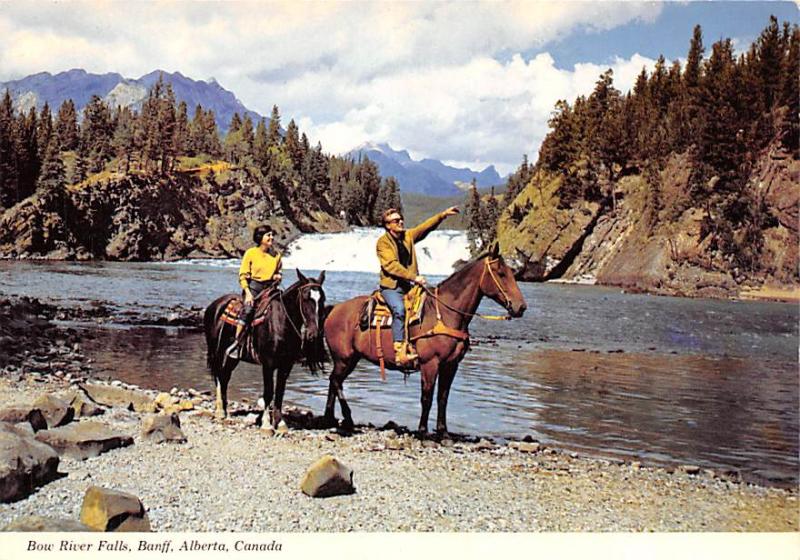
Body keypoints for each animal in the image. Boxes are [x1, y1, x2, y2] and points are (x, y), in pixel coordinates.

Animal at [205, 270, 326, 426]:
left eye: (322, 299)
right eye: (305, 298)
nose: (313, 333)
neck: (280, 322)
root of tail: (214, 306)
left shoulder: (286, 365)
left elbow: (280, 392)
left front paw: (280, 423)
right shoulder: (268, 363)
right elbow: (268, 392)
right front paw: (267, 424)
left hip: (232, 358)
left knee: (225, 377)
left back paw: (225, 412)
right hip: (217, 352)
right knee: (219, 377)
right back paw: (220, 412)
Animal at [322, 242, 528, 438]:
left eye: (512, 274)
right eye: (501, 273)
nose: (521, 307)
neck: (446, 314)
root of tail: (334, 309)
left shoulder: (450, 365)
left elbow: (442, 398)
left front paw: (443, 431)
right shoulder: (430, 363)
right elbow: (426, 398)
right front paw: (423, 431)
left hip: (351, 359)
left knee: (333, 382)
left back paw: (330, 417)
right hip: (344, 358)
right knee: (335, 381)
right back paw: (346, 417)